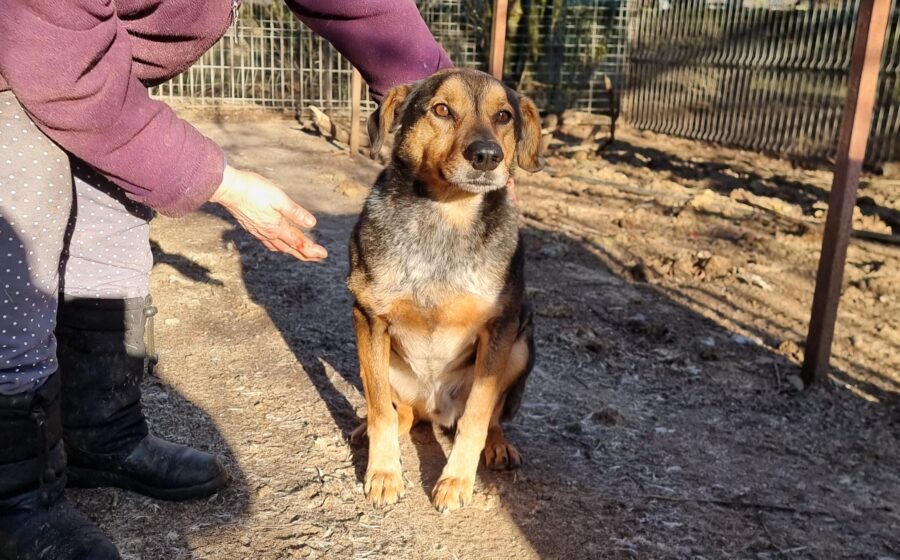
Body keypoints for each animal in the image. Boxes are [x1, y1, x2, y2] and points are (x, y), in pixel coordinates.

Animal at [347, 68, 543, 513]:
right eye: (441, 110)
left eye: (503, 116)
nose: (487, 156)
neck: (447, 214)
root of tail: (432, 410)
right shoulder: (368, 316)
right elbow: (381, 409)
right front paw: (383, 473)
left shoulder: (500, 326)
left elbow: (477, 417)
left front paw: (456, 480)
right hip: (378, 358)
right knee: (396, 409)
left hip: (521, 346)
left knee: (491, 417)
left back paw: (498, 446)